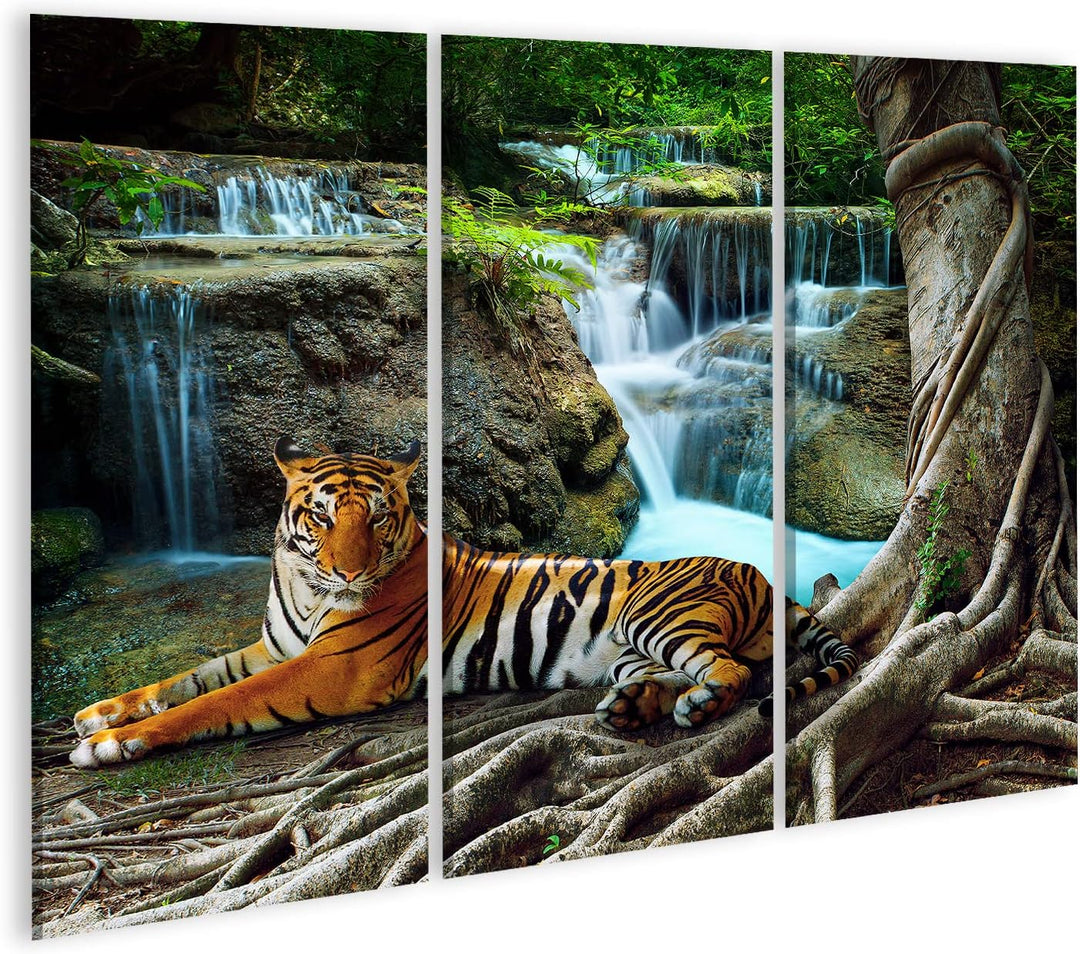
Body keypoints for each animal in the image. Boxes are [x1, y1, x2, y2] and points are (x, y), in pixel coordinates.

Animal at [70, 439, 858, 767]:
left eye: (376, 518)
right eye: (321, 517)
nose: (349, 570)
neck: (302, 582)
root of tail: (758, 572)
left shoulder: (332, 667)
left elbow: (214, 702)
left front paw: (113, 744)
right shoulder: (274, 646)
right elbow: (188, 679)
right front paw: (100, 714)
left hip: (659, 617)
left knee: (735, 673)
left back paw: (700, 704)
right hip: (629, 650)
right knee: (669, 678)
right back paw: (633, 709)